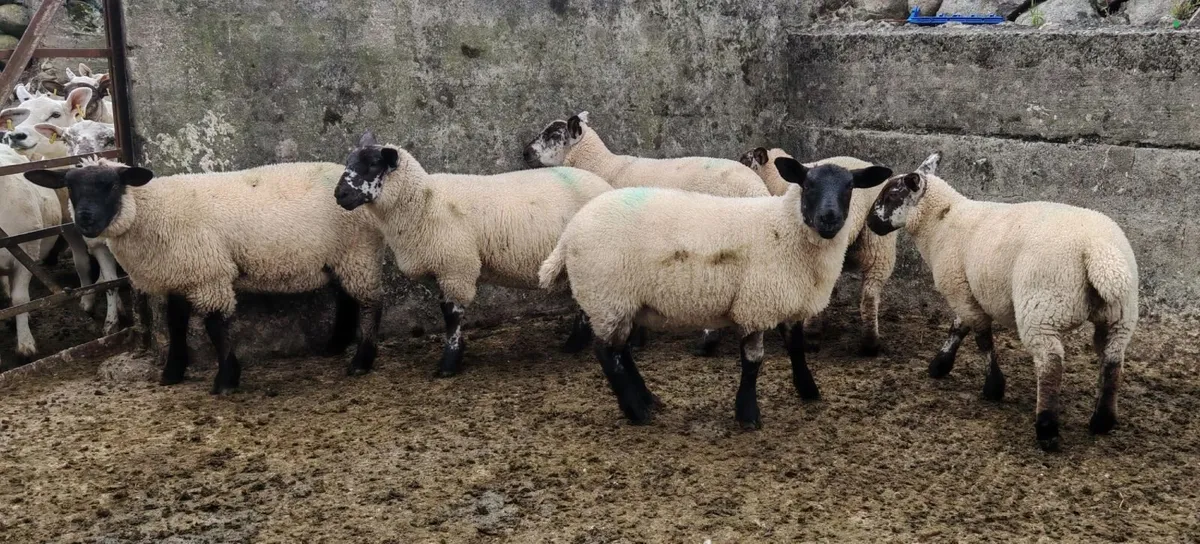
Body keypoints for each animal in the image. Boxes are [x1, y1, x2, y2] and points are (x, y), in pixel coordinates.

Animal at [24, 158, 387, 395]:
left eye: (112, 185)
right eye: (70, 187)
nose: (85, 221)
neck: (152, 210)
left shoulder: (208, 275)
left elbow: (215, 327)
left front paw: (226, 379)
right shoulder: (179, 276)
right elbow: (176, 325)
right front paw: (172, 372)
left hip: (358, 250)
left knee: (371, 303)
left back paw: (361, 360)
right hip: (341, 256)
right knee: (347, 299)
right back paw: (335, 345)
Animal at [334, 131, 613, 377]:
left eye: (372, 164)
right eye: (348, 162)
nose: (339, 195)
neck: (425, 202)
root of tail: (604, 185)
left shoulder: (455, 267)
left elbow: (452, 316)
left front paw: (449, 364)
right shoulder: (439, 269)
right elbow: (445, 310)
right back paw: (575, 344)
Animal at [712, 147, 900, 357]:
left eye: (745, 159)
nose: (830, 218)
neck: (776, 180)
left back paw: (812, 335)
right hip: (880, 245)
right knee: (870, 295)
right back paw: (870, 343)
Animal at [866, 153, 1139, 452]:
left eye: (892, 194)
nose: (870, 223)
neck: (941, 221)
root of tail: (1099, 251)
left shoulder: (958, 287)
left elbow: (982, 338)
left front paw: (993, 387)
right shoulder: (966, 289)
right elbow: (958, 328)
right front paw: (940, 365)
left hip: (1041, 309)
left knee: (1051, 364)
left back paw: (1047, 429)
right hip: (1120, 313)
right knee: (1112, 359)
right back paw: (1102, 421)